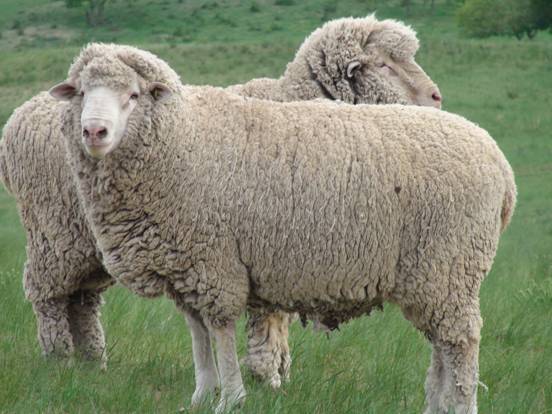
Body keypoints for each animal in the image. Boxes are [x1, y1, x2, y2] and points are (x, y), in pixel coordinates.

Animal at [0, 14, 441, 386]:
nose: (437, 98)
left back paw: (92, 362)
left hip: (83, 245)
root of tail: (20, 114)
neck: (291, 99)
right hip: (53, 235)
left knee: (83, 299)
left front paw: (278, 373)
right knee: (49, 296)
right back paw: (60, 359)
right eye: (383, 65)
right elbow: (267, 319)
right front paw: (267, 376)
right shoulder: (269, 244)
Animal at [50, 44, 514, 414]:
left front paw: (230, 398)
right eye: (83, 93)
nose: (94, 131)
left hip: (449, 264)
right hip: (435, 276)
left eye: (133, 95)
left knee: (460, 342)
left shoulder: (215, 263)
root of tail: (500, 163)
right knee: (442, 344)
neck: (181, 138)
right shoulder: (184, 264)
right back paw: (437, 405)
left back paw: (461, 404)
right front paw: (200, 396)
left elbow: (220, 332)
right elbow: (198, 336)